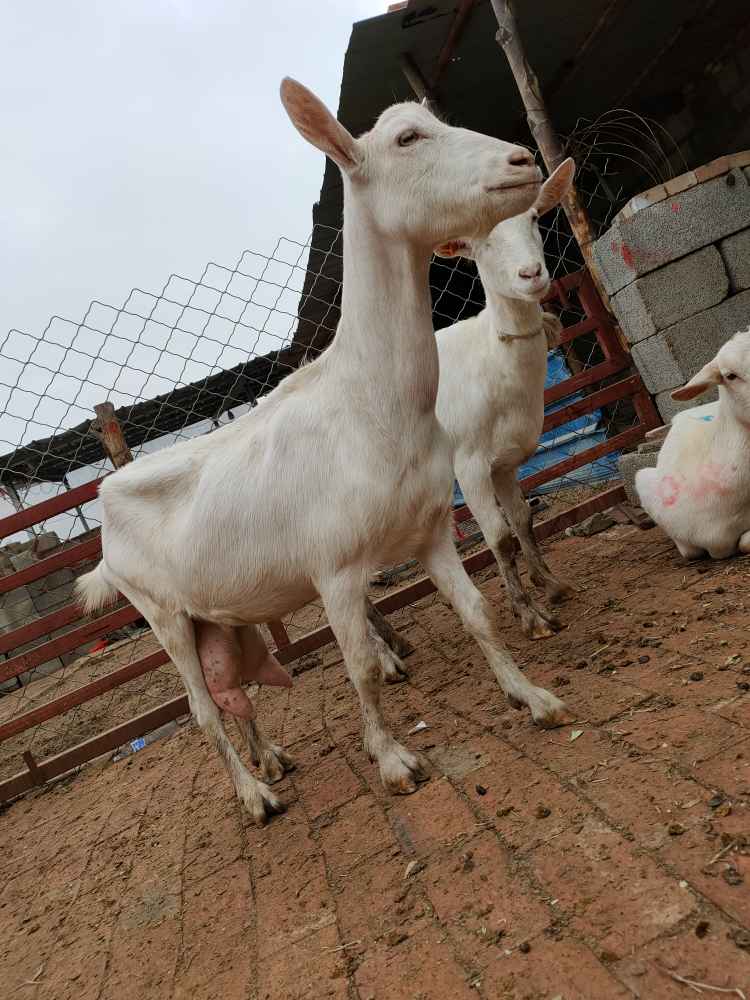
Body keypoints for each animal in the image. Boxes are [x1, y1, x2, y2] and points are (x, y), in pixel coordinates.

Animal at [432, 160, 580, 636]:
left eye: (534, 217)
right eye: (481, 239)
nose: (531, 274)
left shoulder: (507, 460)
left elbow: (523, 520)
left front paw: (551, 584)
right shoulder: (470, 464)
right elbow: (498, 536)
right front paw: (529, 615)